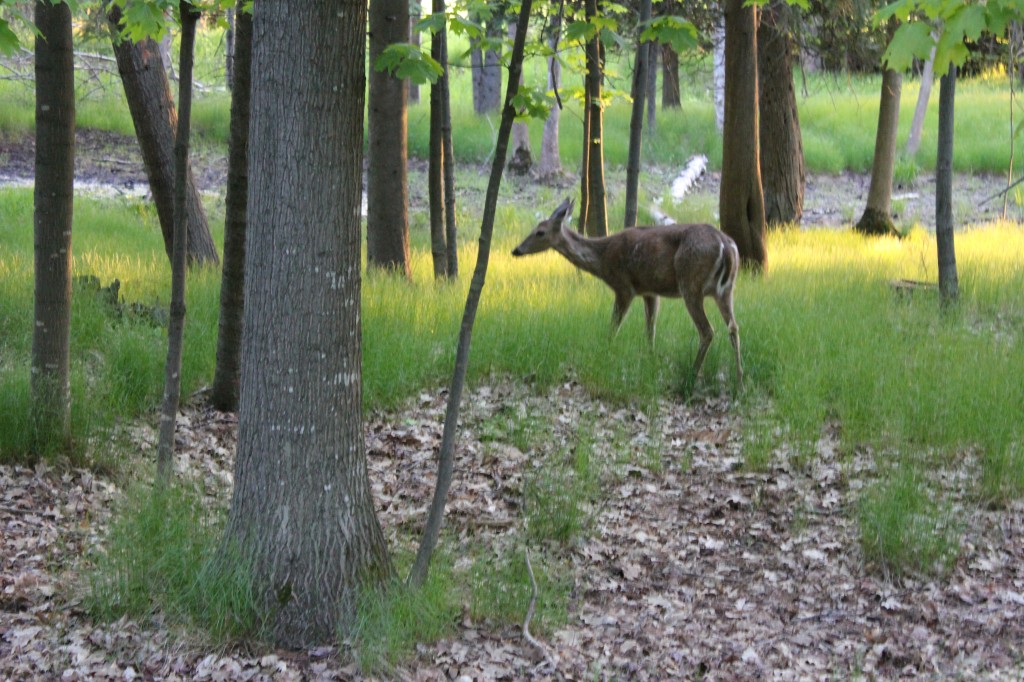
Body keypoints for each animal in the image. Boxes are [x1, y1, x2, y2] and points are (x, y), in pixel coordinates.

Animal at [512, 198, 743, 388]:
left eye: (540, 232)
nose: (516, 250)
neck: (602, 258)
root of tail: (726, 245)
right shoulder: (650, 291)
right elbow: (650, 330)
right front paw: (650, 361)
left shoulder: (624, 286)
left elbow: (613, 326)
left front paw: (606, 354)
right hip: (726, 289)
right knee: (733, 326)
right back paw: (739, 380)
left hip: (690, 283)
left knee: (707, 330)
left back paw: (692, 376)